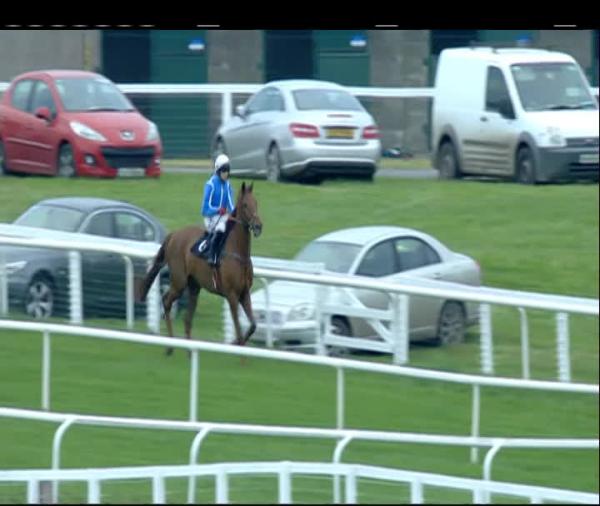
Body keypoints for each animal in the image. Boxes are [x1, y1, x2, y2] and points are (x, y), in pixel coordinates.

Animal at [137, 182, 263, 355]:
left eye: (256, 203)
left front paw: (235, 342)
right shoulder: (231, 295)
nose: (258, 226)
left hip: (194, 286)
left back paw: (190, 349)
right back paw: (170, 345)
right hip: (179, 281)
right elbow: (238, 327)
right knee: (167, 301)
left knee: (187, 318)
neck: (238, 253)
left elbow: (253, 325)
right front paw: (238, 348)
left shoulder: (244, 293)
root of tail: (173, 234)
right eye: (245, 205)